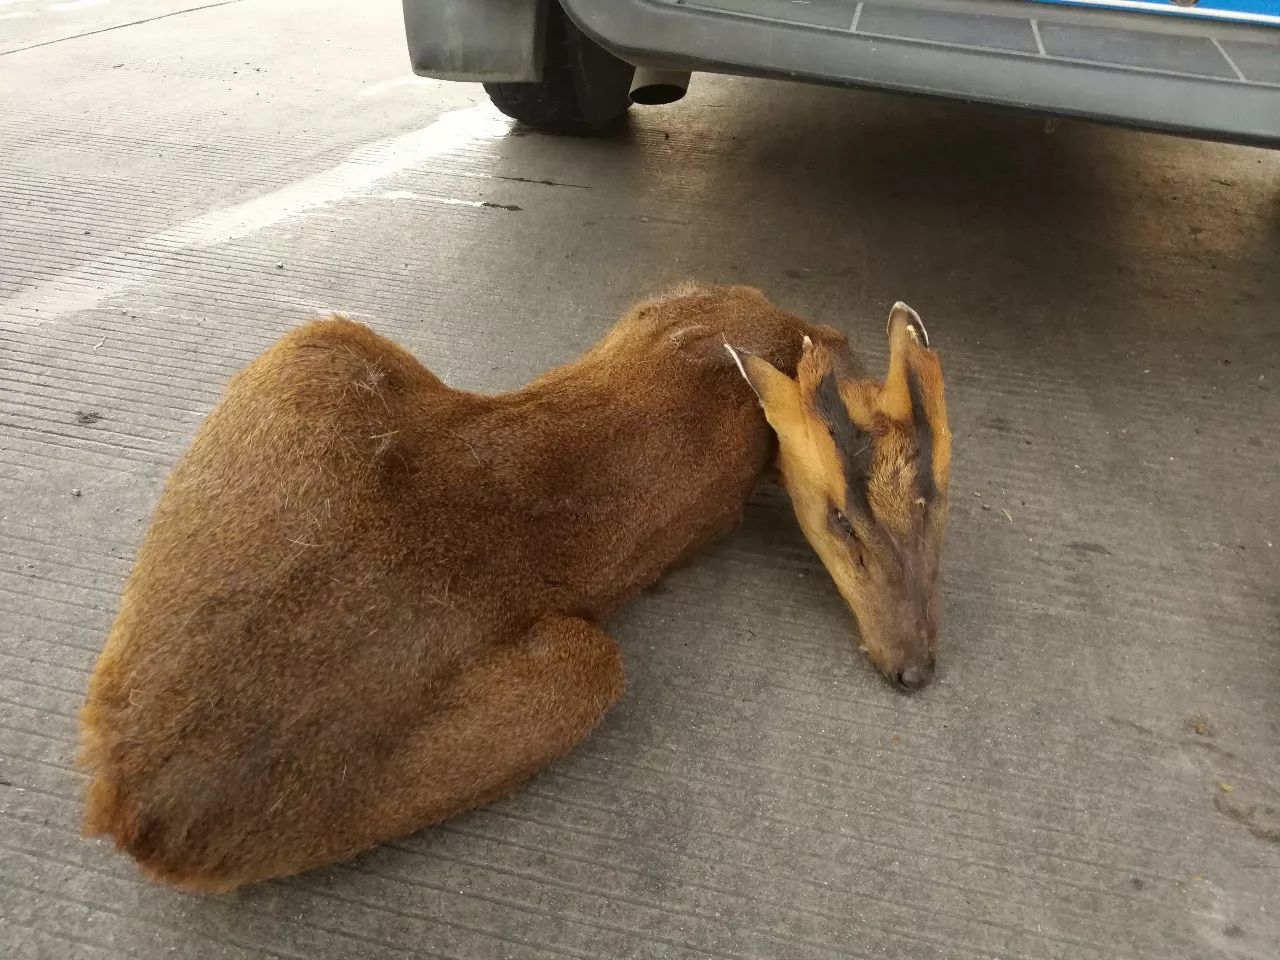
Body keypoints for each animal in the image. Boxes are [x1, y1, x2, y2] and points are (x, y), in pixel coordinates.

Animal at [77, 285, 952, 896]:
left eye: (937, 503)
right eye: (840, 520)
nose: (912, 665)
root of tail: (137, 808)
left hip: (312, 351)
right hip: (584, 662)